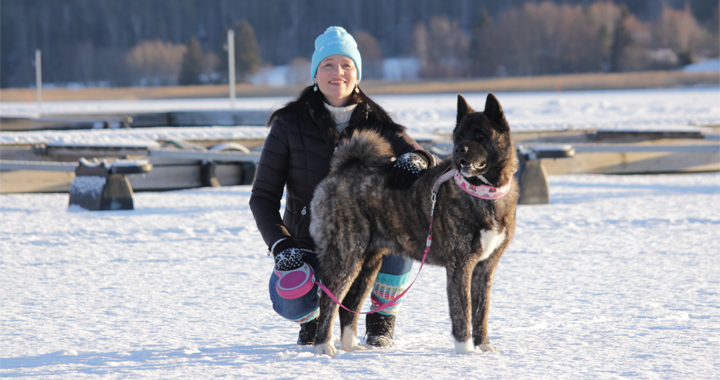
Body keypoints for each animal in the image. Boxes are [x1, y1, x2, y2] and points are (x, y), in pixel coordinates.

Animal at [310, 93, 516, 358]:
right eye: (459, 136)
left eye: (480, 135)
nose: (459, 149)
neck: (482, 193)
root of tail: (341, 169)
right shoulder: (460, 265)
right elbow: (463, 312)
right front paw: (466, 351)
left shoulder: (485, 267)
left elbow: (481, 312)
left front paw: (483, 346)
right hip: (346, 256)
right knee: (328, 300)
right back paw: (323, 346)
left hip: (368, 262)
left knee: (349, 304)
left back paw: (351, 345)